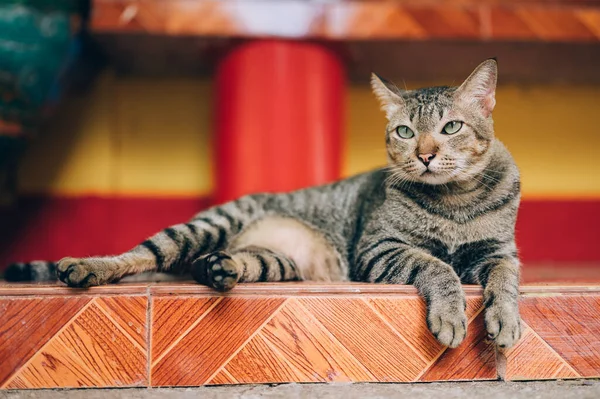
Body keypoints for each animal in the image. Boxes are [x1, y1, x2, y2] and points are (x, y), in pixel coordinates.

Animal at [4, 58, 520, 350]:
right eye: (405, 132)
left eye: (451, 127)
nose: (425, 155)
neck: (453, 202)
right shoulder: (380, 248)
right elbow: (438, 266)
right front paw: (451, 314)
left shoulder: (500, 252)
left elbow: (505, 279)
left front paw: (506, 319)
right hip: (205, 226)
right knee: (137, 255)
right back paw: (87, 267)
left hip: (276, 261)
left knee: (222, 264)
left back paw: (220, 268)